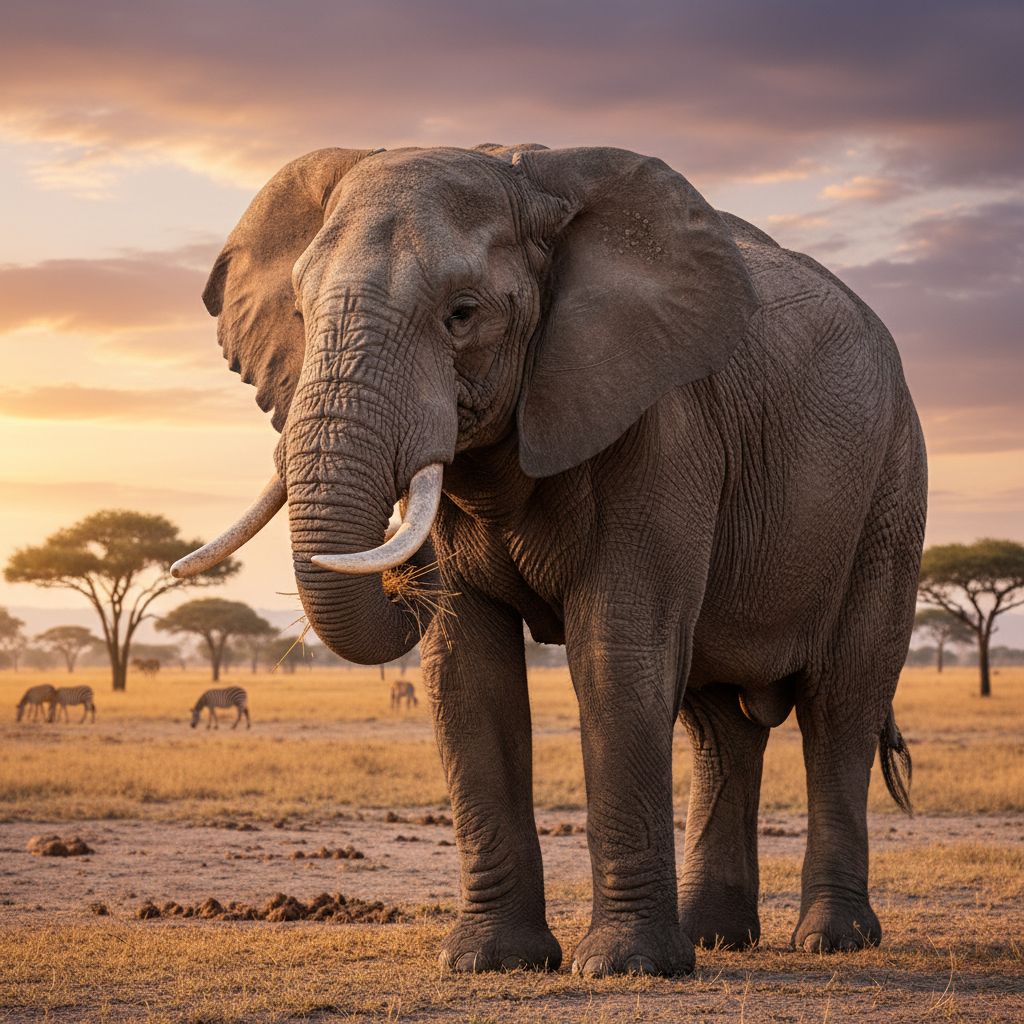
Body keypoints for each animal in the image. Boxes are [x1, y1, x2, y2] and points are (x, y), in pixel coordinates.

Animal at [171, 143, 926, 977]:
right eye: (302, 317)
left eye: (463, 313)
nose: (401, 573)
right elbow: (466, 672)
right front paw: (488, 961)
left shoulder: (660, 426)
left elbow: (616, 654)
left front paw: (625, 968)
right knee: (717, 725)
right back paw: (714, 937)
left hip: (891, 488)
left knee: (840, 706)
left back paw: (830, 938)